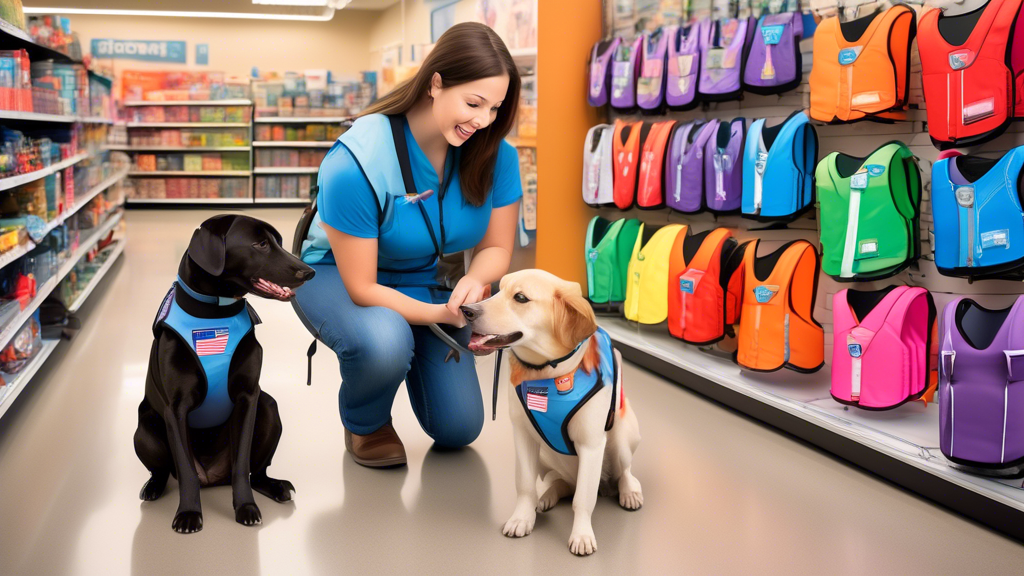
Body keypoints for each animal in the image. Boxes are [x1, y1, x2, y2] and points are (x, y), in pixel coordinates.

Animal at [134, 213, 313, 532]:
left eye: (278, 241)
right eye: (260, 244)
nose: (310, 271)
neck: (214, 315)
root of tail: (212, 478)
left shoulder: (248, 398)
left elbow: (242, 464)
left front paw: (245, 507)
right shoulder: (175, 409)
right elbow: (186, 471)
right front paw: (189, 513)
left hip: (269, 407)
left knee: (257, 472)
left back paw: (276, 487)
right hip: (144, 427)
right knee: (165, 470)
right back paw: (153, 487)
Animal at [458, 266, 638, 553]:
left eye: (520, 297)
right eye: (499, 289)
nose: (466, 309)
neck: (548, 373)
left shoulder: (591, 444)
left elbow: (583, 499)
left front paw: (582, 534)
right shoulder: (523, 435)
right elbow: (524, 485)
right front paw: (522, 518)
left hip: (619, 438)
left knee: (622, 472)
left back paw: (630, 491)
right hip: (545, 453)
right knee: (564, 483)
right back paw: (548, 496)